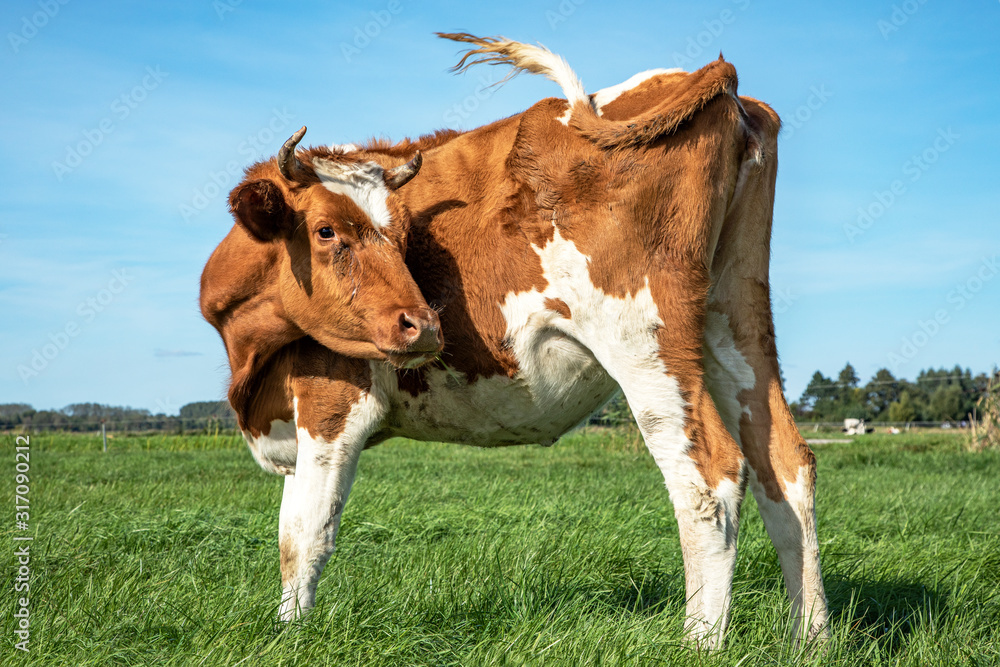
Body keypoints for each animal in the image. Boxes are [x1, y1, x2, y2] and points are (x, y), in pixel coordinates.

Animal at [201, 34, 828, 648]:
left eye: (400, 236)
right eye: (326, 230)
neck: (249, 357)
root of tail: (707, 80)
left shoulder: (334, 404)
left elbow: (305, 534)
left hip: (645, 340)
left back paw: (699, 642)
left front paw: (289, 637)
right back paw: (813, 638)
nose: (426, 326)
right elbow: (288, 533)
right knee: (785, 466)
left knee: (708, 478)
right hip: (736, 319)